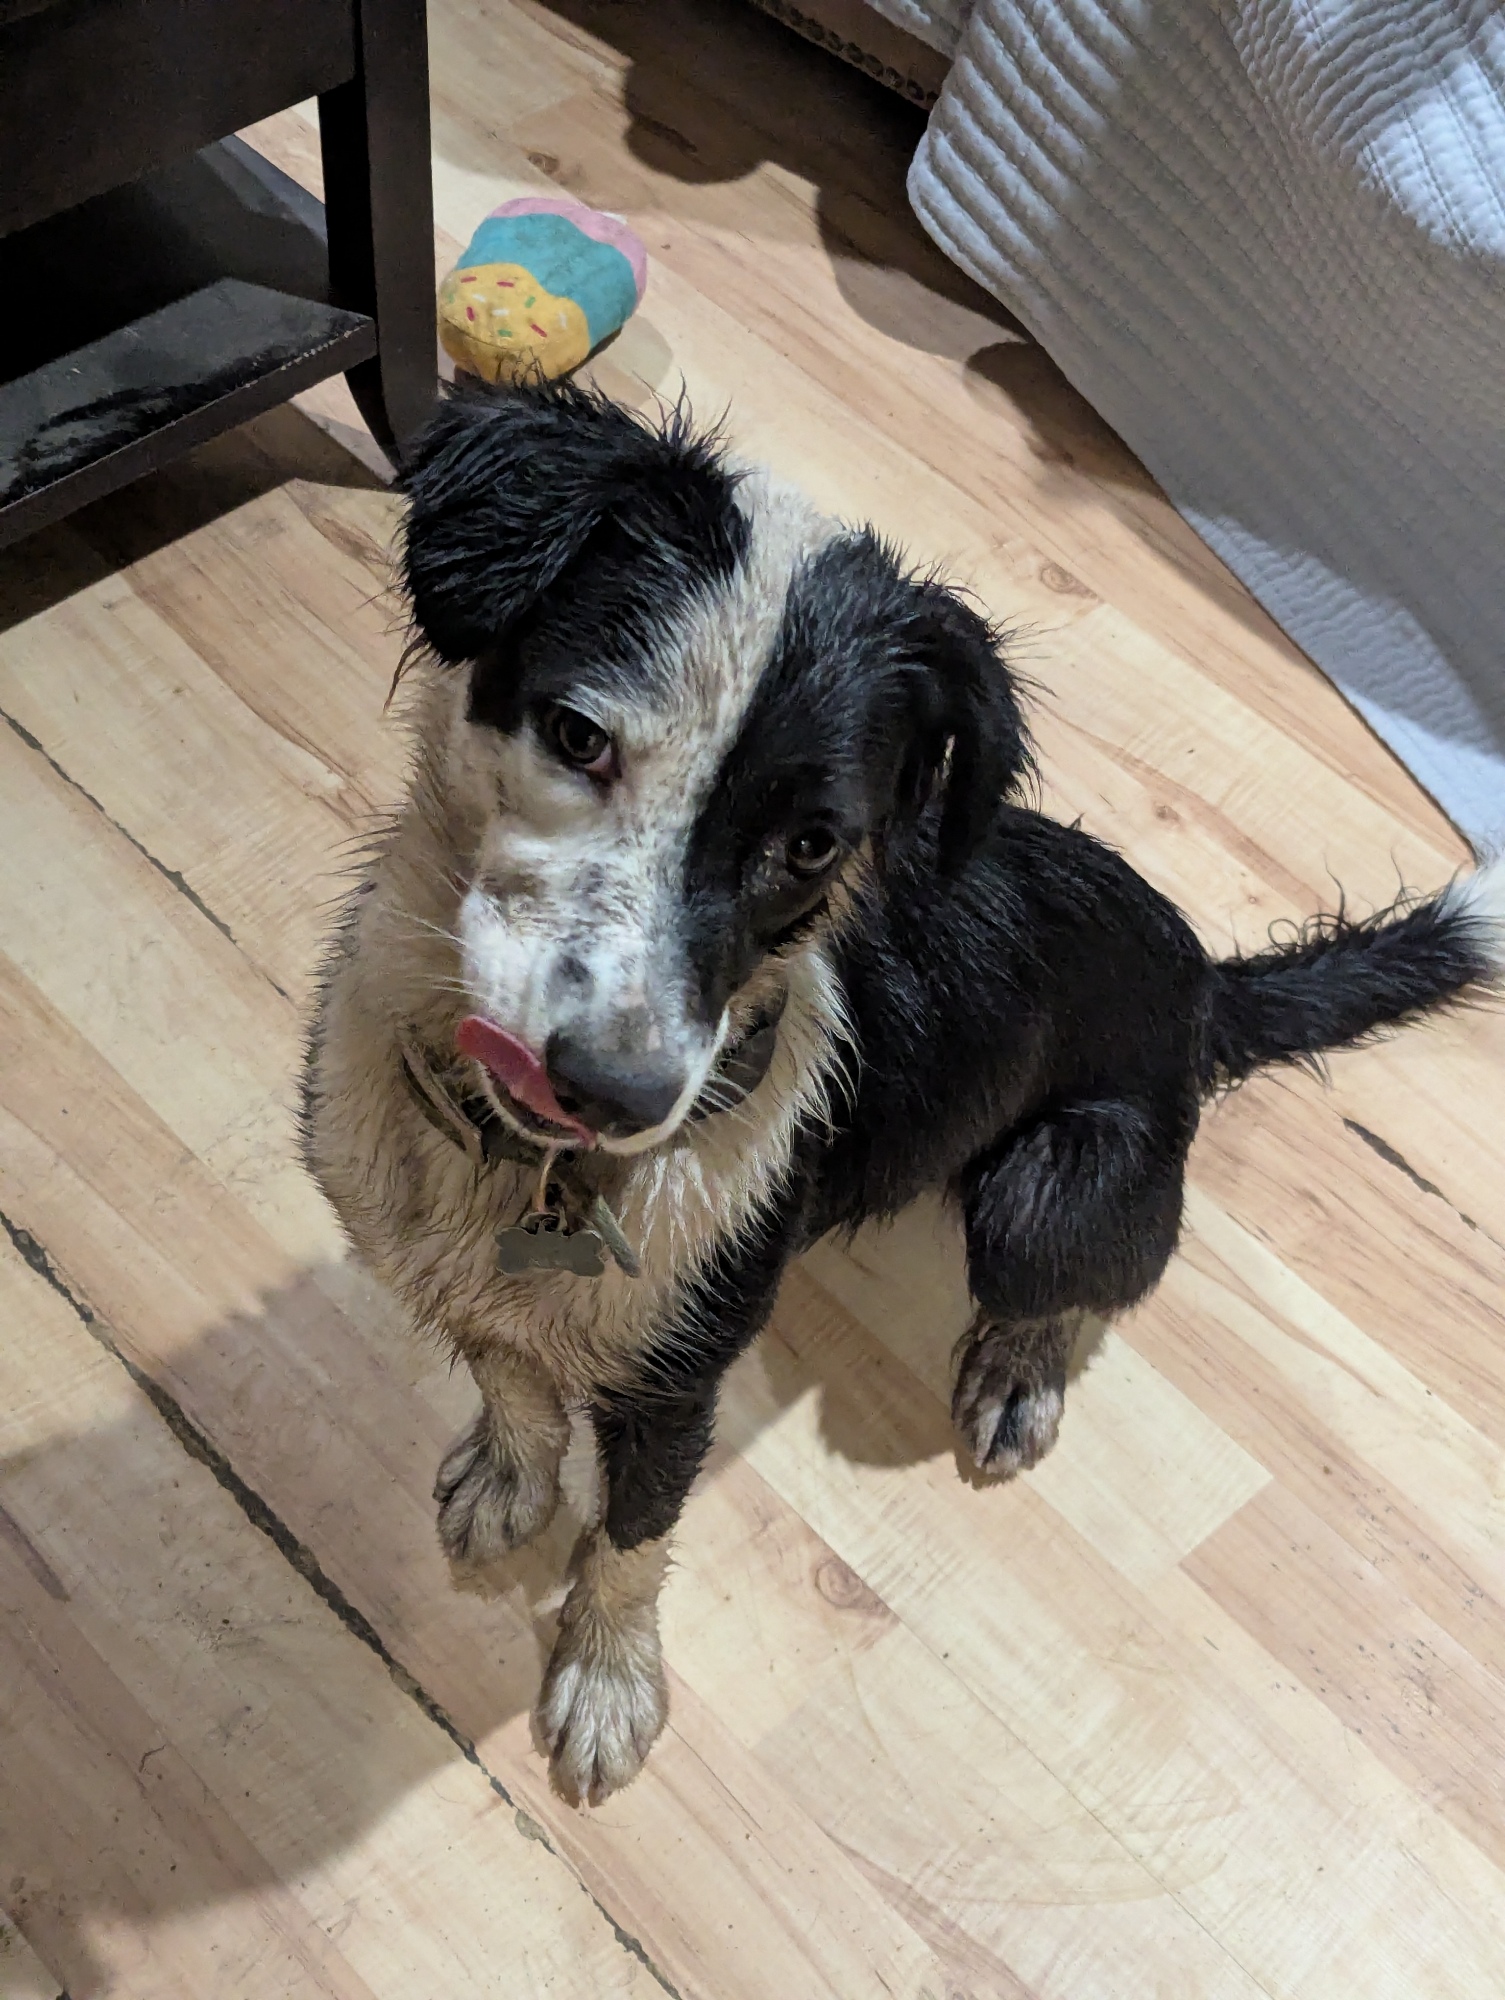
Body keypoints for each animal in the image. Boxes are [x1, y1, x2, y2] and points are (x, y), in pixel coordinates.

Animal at [301, 380, 1504, 1805]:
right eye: (575, 735)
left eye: (814, 842)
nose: (614, 1091)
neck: (519, 1166)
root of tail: (1203, 981)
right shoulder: (450, 1266)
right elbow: (510, 1377)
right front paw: (511, 1468)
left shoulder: (678, 1379)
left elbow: (630, 1539)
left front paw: (605, 1679)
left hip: (1050, 1184)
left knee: (1083, 1280)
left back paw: (1014, 1371)